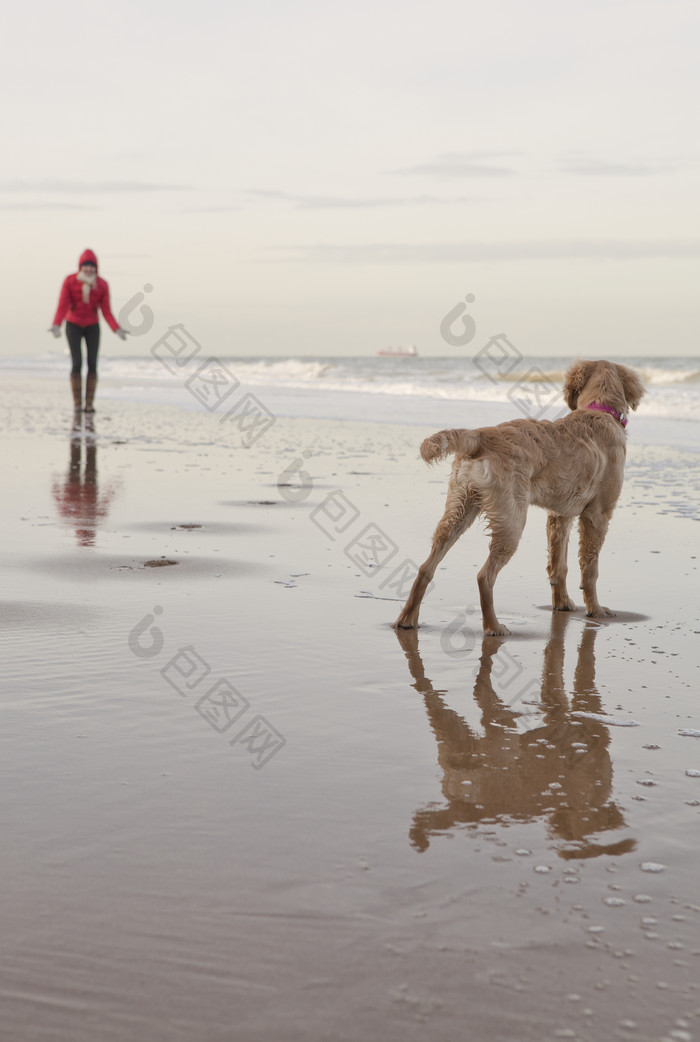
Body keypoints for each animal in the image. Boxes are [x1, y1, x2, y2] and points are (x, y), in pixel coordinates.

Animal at [393, 358, 645, 633]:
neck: (600, 410)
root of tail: (480, 436)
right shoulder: (598, 515)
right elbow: (590, 569)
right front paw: (596, 610)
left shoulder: (560, 516)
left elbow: (559, 566)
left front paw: (563, 603)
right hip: (511, 519)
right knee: (484, 576)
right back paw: (493, 626)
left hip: (459, 510)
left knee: (426, 568)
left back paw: (407, 619)